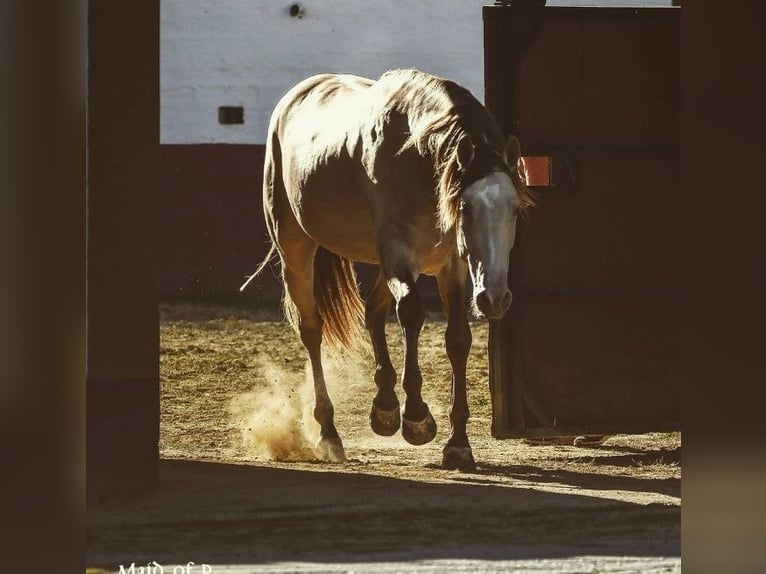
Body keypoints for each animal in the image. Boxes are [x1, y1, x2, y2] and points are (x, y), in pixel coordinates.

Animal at [244, 68, 536, 472]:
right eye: (465, 206)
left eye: (513, 208)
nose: (494, 298)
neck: (415, 156)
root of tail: (295, 96)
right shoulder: (400, 255)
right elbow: (411, 314)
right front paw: (416, 417)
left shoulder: (451, 266)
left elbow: (457, 339)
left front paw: (457, 444)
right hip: (296, 250)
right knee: (312, 330)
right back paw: (329, 433)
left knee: (373, 312)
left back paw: (383, 407)